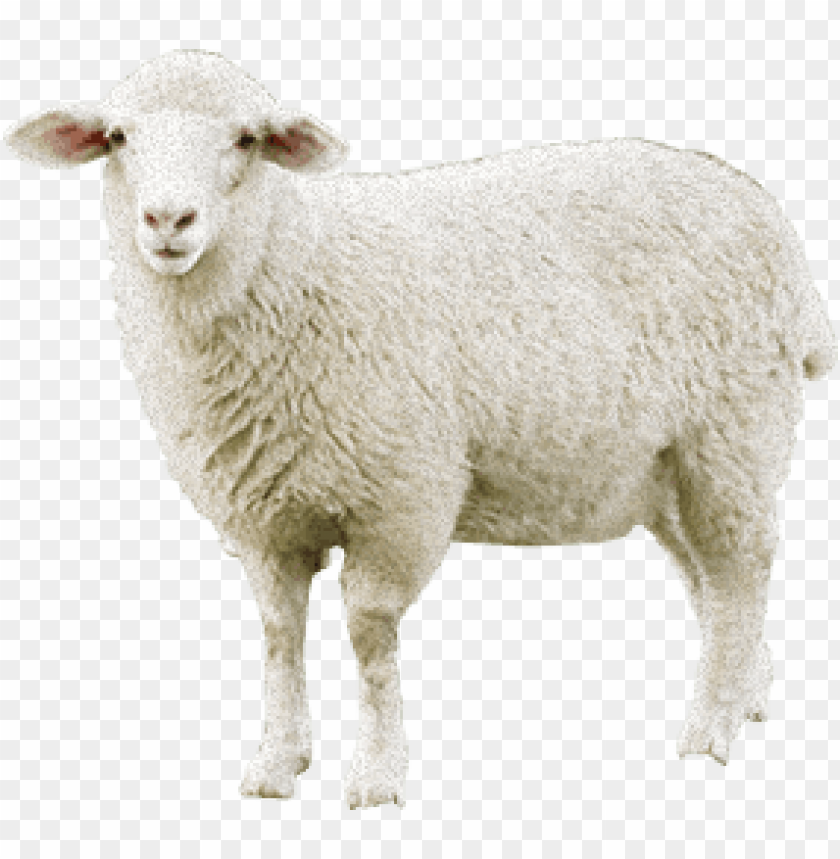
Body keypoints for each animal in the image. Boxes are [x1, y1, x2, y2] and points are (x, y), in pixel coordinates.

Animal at [5, 49, 836, 809]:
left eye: (246, 138)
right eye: (117, 136)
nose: (168, 221)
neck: (290, 265)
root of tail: (771, 217)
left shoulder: (401, 499)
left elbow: (369, 635)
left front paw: (376, 775)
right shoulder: (262, 519)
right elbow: (279, 633)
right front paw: (277, 763)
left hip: (733, 432)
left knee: (741, 569)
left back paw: (713, 727)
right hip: (665, 467)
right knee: (710, 580)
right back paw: (748, 691)